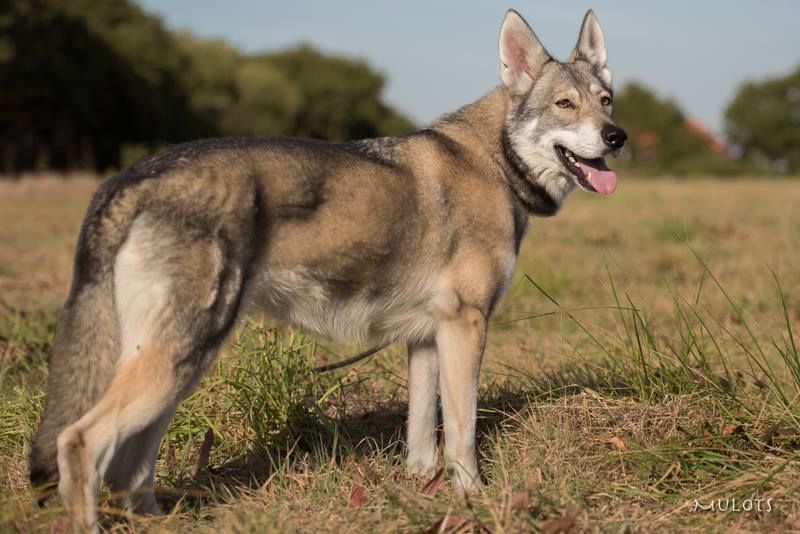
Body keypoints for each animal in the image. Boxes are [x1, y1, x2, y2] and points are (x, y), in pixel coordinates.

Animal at [29, 8, 624, 532]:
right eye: (565, 104)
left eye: (605, 101)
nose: (616, 136)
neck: (495, 161)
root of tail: (128, 178)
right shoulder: (465, 327)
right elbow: (461, 431)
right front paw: (473, 499)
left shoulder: (426, 339)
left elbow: (421, 437)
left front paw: (422, 490)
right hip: (175, 360)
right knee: (80, 443)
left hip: (182, 365)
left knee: (131, 463)